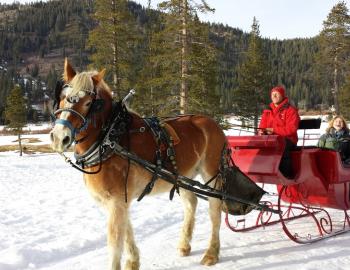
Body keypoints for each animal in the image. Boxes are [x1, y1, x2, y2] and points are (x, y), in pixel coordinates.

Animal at [48, 59, 262, 270]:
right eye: (63, 97)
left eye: (88, 103)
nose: (59, 137)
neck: (110, 139)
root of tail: (212, 123)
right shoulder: (119, 201)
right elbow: (127, 231)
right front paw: (133, 261)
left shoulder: (116, 201)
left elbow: (115, 243)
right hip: (183, 176)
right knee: (191, 203)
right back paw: (184, 245)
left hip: (212, 174)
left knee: (214, 209)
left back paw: (211, 253)